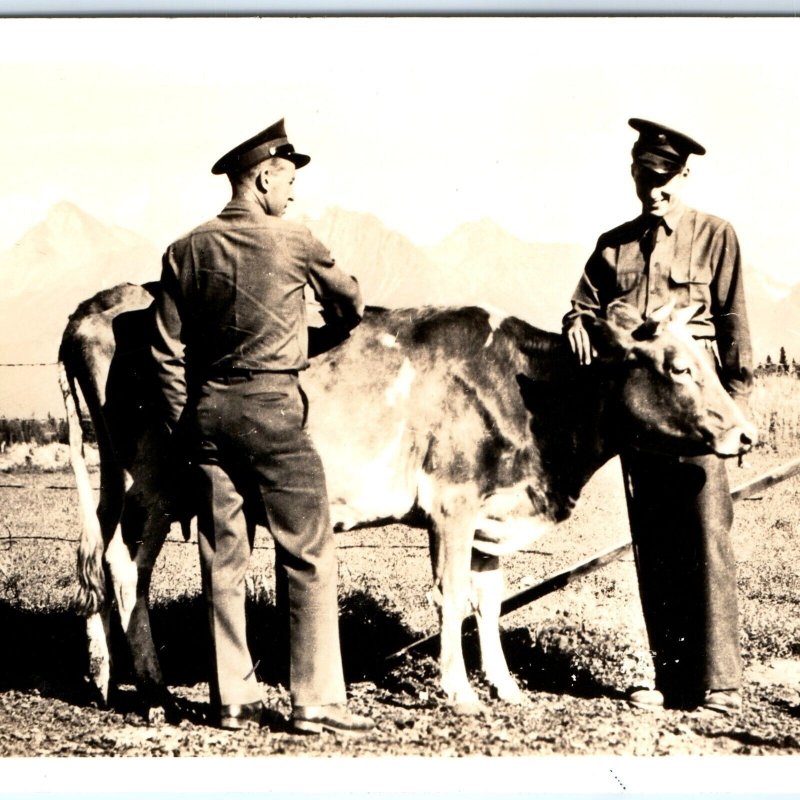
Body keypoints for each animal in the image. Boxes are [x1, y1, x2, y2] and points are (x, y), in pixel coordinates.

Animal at [59, 280, 752, 720]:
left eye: (709, 361)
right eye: (678, 367)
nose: (746, 433)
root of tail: (100, 304)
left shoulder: (489, 513)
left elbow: (487, 601)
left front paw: (506, 686)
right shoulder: (452, 503)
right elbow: (451, 596)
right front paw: (459, 691)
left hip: (126, 478)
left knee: (100, 560)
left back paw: (103, 675)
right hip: (158, 478)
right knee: (124, 564)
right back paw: (150, 687)